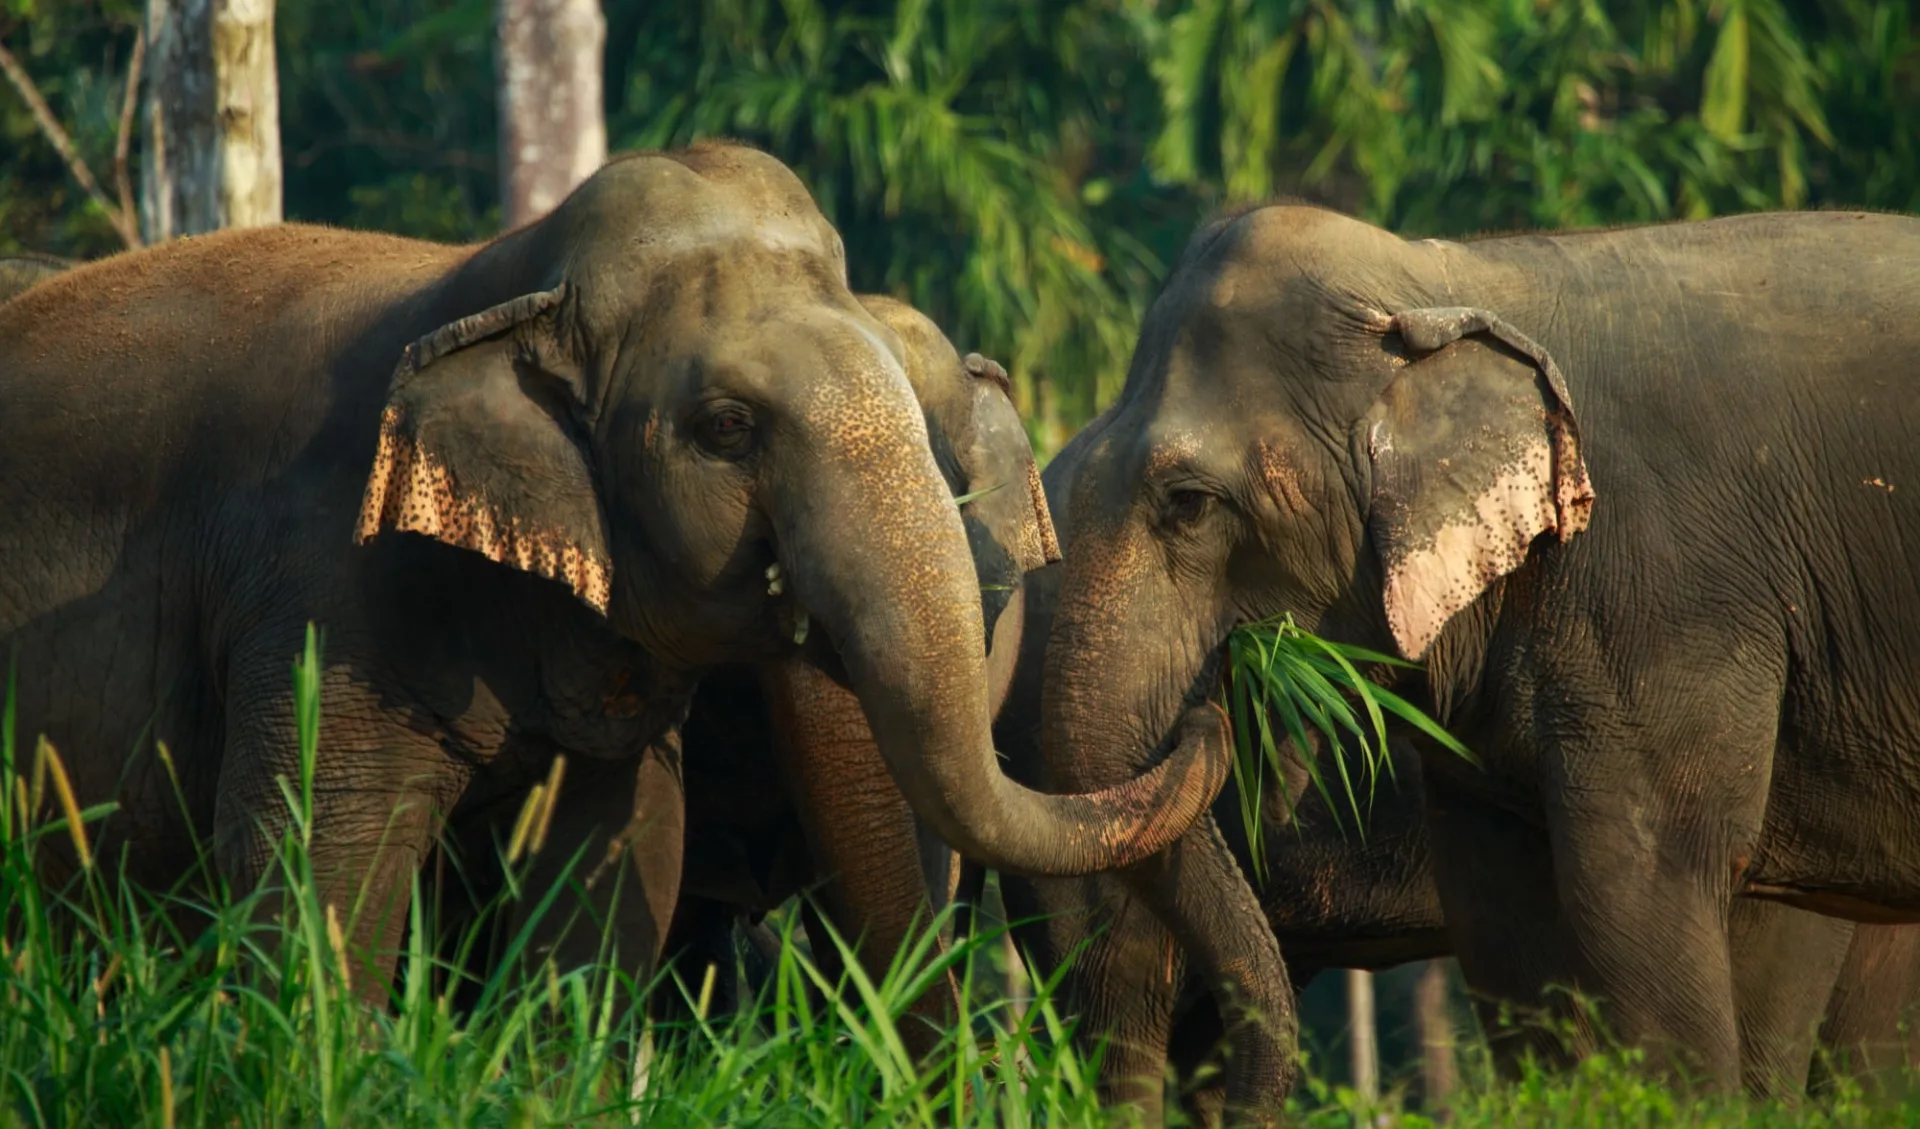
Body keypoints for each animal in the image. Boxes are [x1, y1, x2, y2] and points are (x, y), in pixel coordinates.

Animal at [0, 141, 1230, 1001]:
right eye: (727, 428)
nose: (1209, 710)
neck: (501, 281)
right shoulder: (319, 589)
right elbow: (317, 858)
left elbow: (619, 853)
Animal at [1030, 202, 1920, 1096]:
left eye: (1187, 503)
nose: (1215, 702)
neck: (1443, 282)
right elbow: (1505, 915)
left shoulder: (1679, 591)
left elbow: (1651, 887)